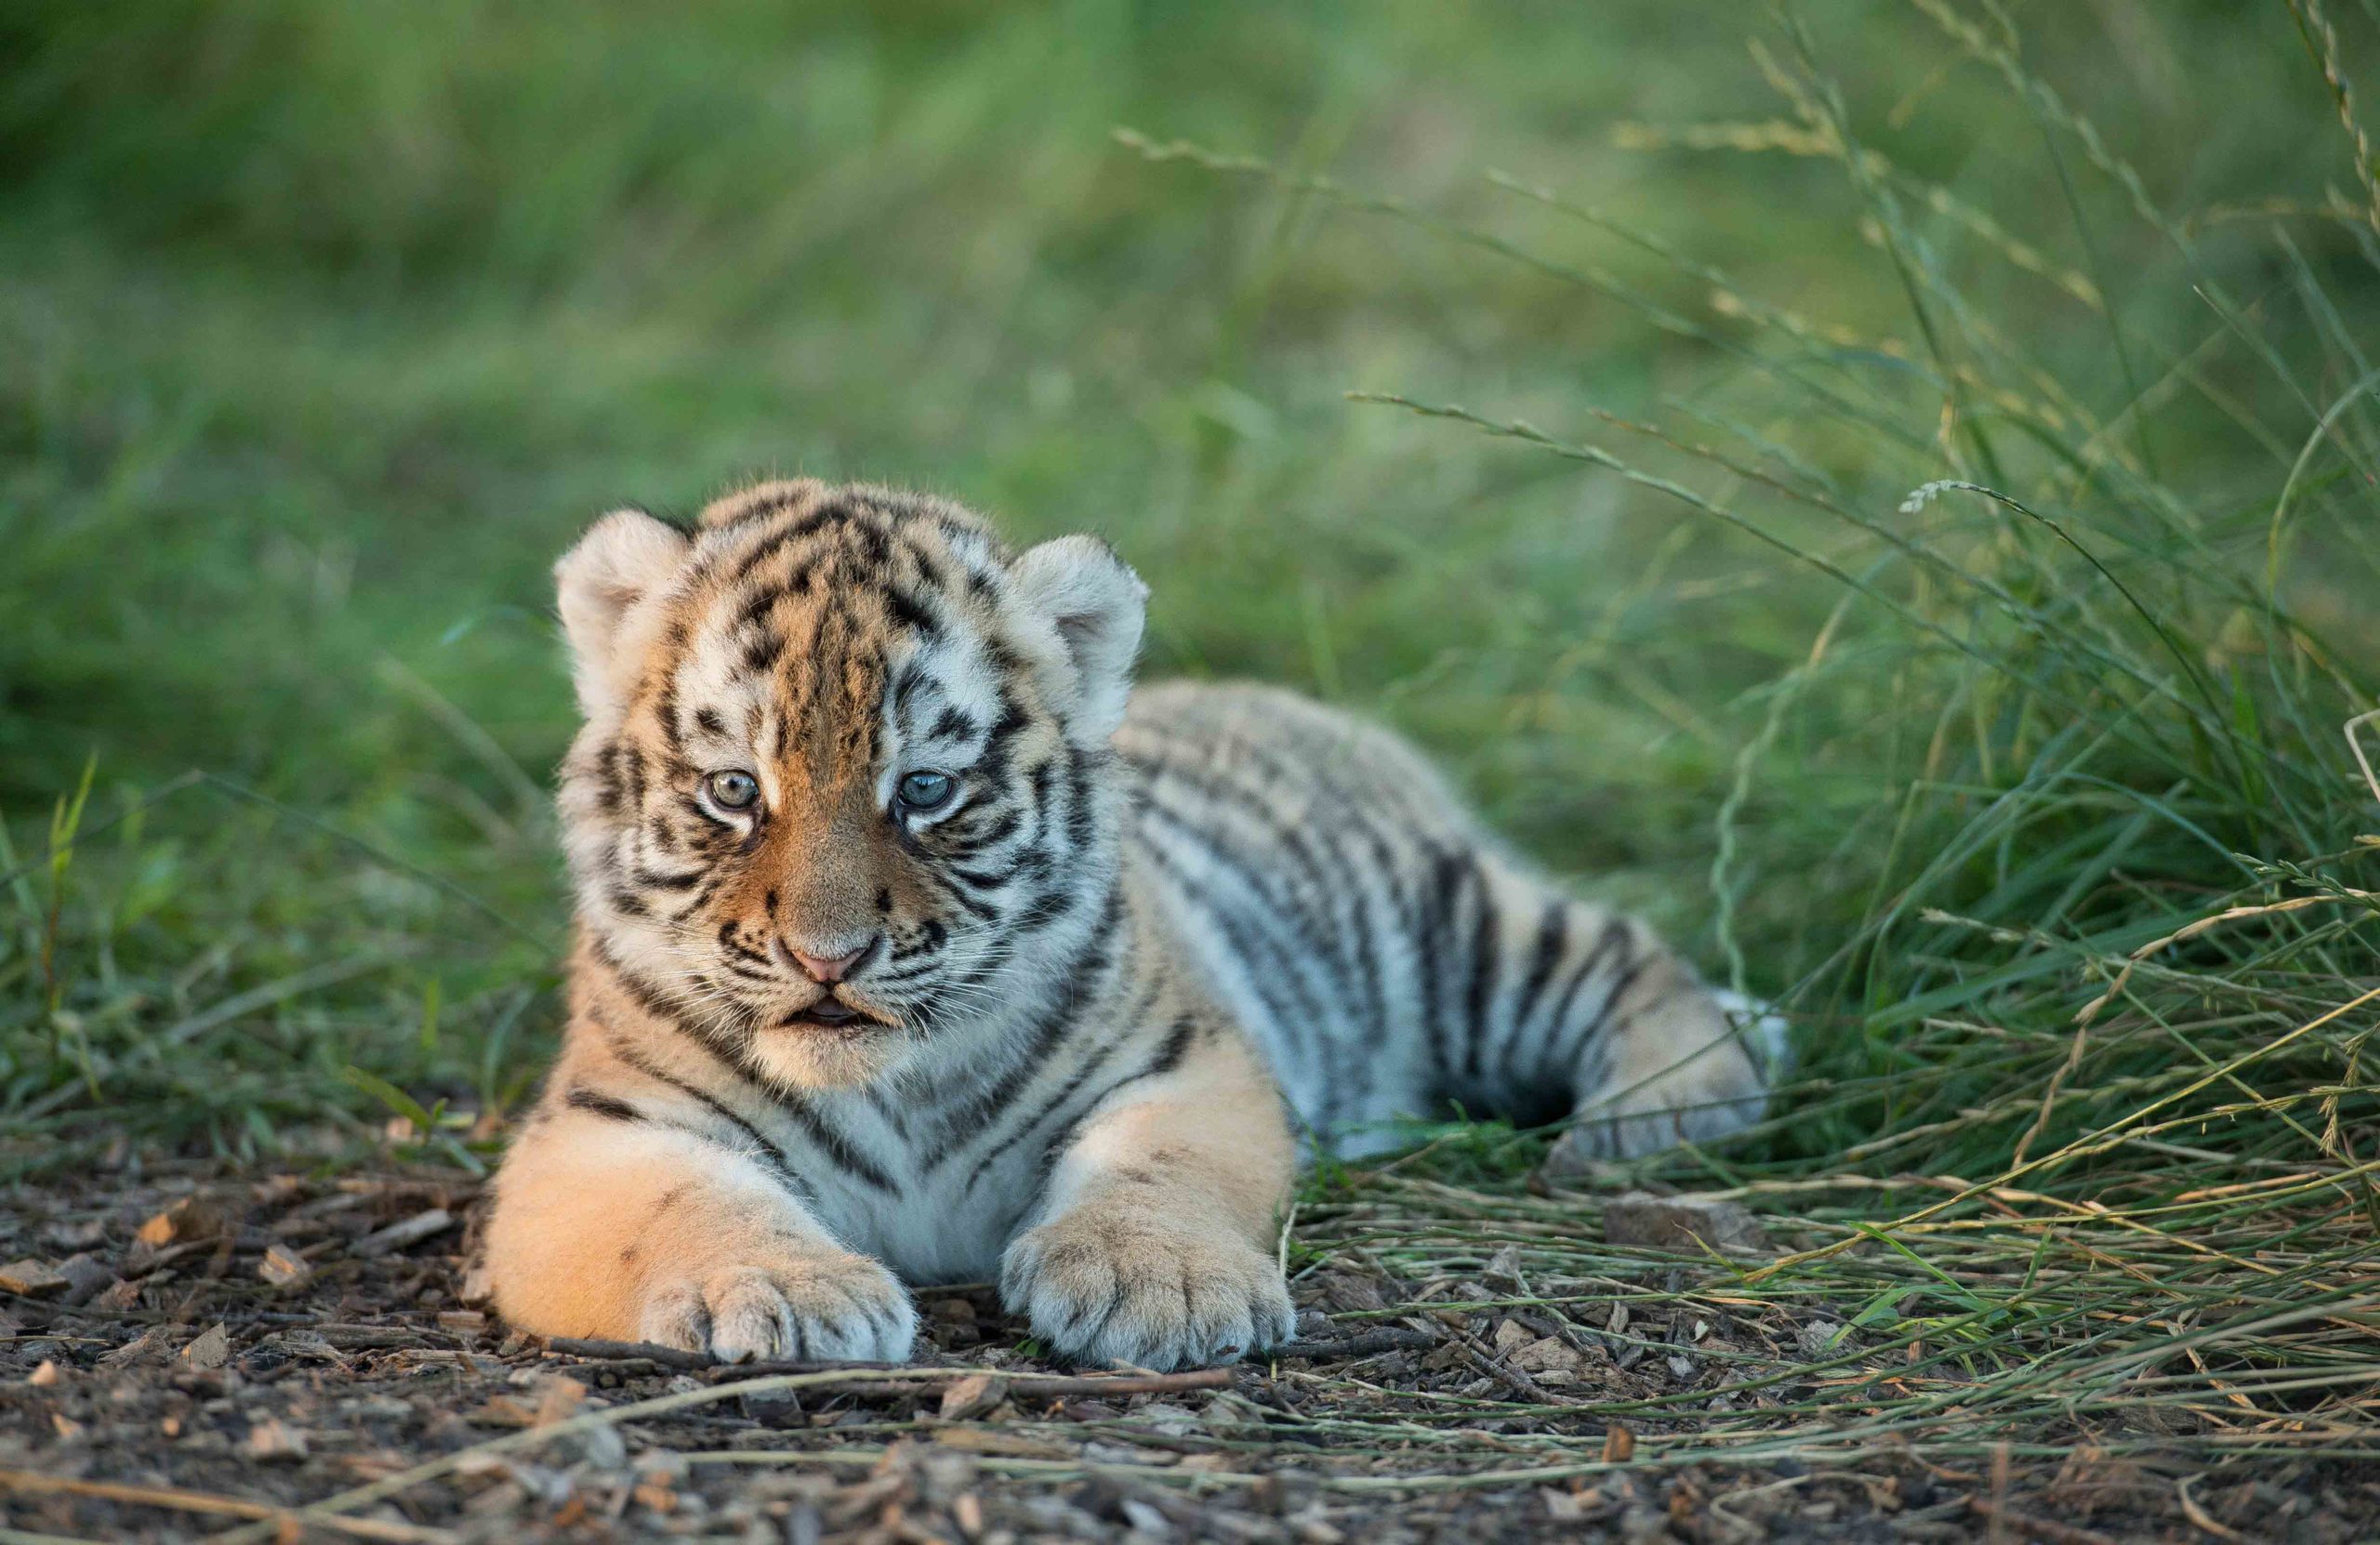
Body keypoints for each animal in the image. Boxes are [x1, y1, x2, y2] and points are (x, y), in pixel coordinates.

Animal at [483, 478, 1782, 1371]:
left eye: (925, 791)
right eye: (735, 790)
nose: (828, 957)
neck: (888, 1087)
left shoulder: (1189, 1062)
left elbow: (1161, 1167)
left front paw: (1160, 1288)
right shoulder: (594, 1134)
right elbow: (689, 1205)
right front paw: (785, 1294)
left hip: (1463, 930)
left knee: (1643, 968)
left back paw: (1643, 1118)